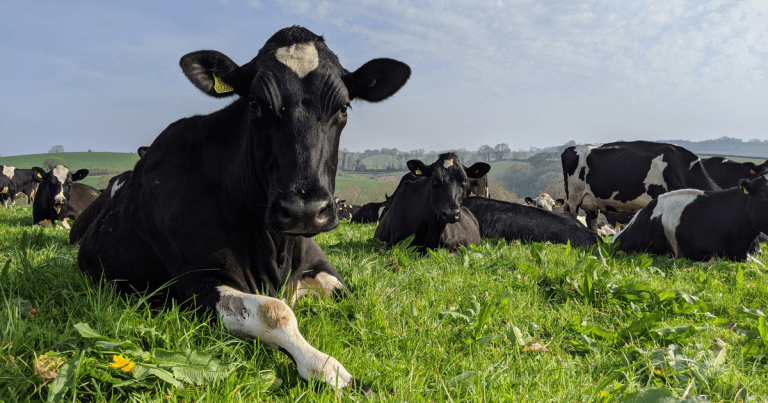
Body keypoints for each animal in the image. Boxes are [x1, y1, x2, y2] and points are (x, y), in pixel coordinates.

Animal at [74, 26, 410, 394]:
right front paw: (334, 373)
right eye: (255, 104)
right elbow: (275, 312)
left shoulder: (321, 265)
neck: (276, 252)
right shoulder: (197, 281)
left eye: (344, 107)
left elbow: (351, 294)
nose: (304, 210)